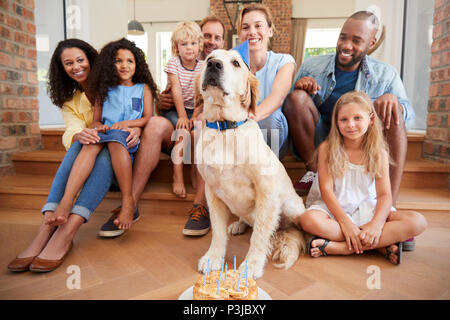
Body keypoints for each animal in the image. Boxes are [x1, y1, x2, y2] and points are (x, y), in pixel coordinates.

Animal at [195, 48, 308, 278]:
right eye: (209, 57)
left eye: (236, 63)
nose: (214, 65)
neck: (224, 129)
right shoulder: (212, 192)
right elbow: (218, 231)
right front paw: (213, 257)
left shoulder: (267, 190)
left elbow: (260, 235)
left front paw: (252, 263)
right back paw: (239, 225)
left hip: (292, 207)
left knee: (293, 229)